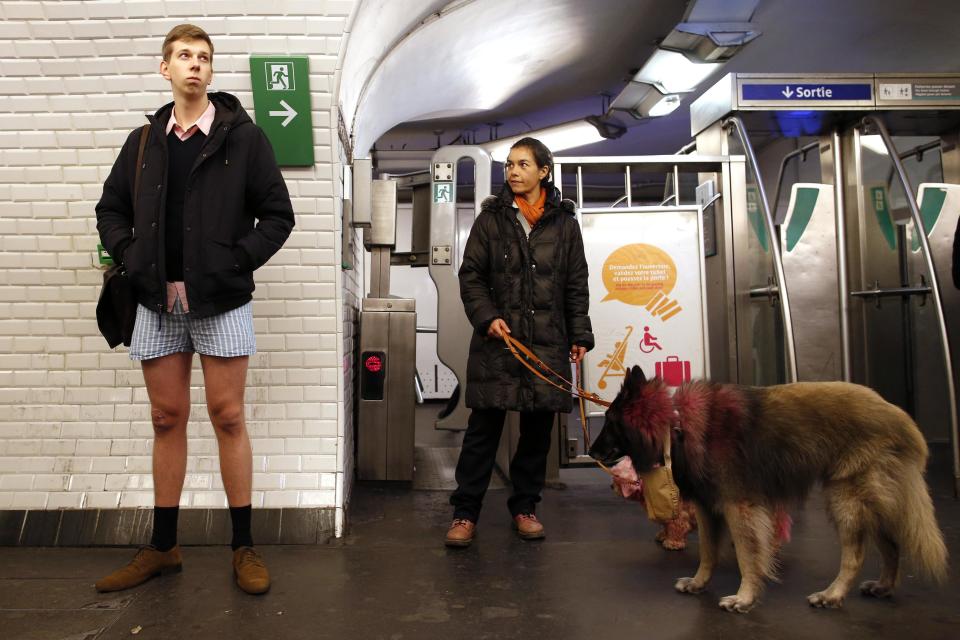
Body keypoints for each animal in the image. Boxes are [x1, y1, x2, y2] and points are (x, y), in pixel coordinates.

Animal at [588, 368, 948, 612]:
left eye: (609, 422)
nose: (589, 451)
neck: (677, 427)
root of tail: (903, 419)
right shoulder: (708, 509)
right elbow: (707, 552)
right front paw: (699, 582)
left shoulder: (739, 508)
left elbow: (748, 557)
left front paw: (745, 597)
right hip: (869, 503)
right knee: (892, 545)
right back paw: (883, 586)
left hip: (845, 500)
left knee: (856, 555)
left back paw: (832, 595)